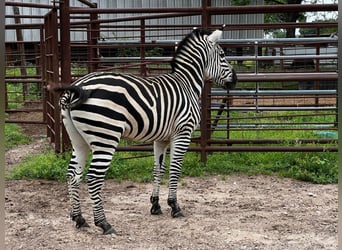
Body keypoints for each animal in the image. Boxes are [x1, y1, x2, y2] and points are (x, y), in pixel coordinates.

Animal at [55, 27, 238, 234]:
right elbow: (175, 168)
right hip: (106, 137)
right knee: (94, 177)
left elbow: (158, 168)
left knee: (72, 174)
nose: (235, 80)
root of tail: (76, 87)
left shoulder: (161, 138)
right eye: (222, 55)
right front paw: (174, 206)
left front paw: (156, 205)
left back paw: (78, 218)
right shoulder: (183, 133)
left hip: (79, 140)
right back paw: (104, 223)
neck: (187, 84)